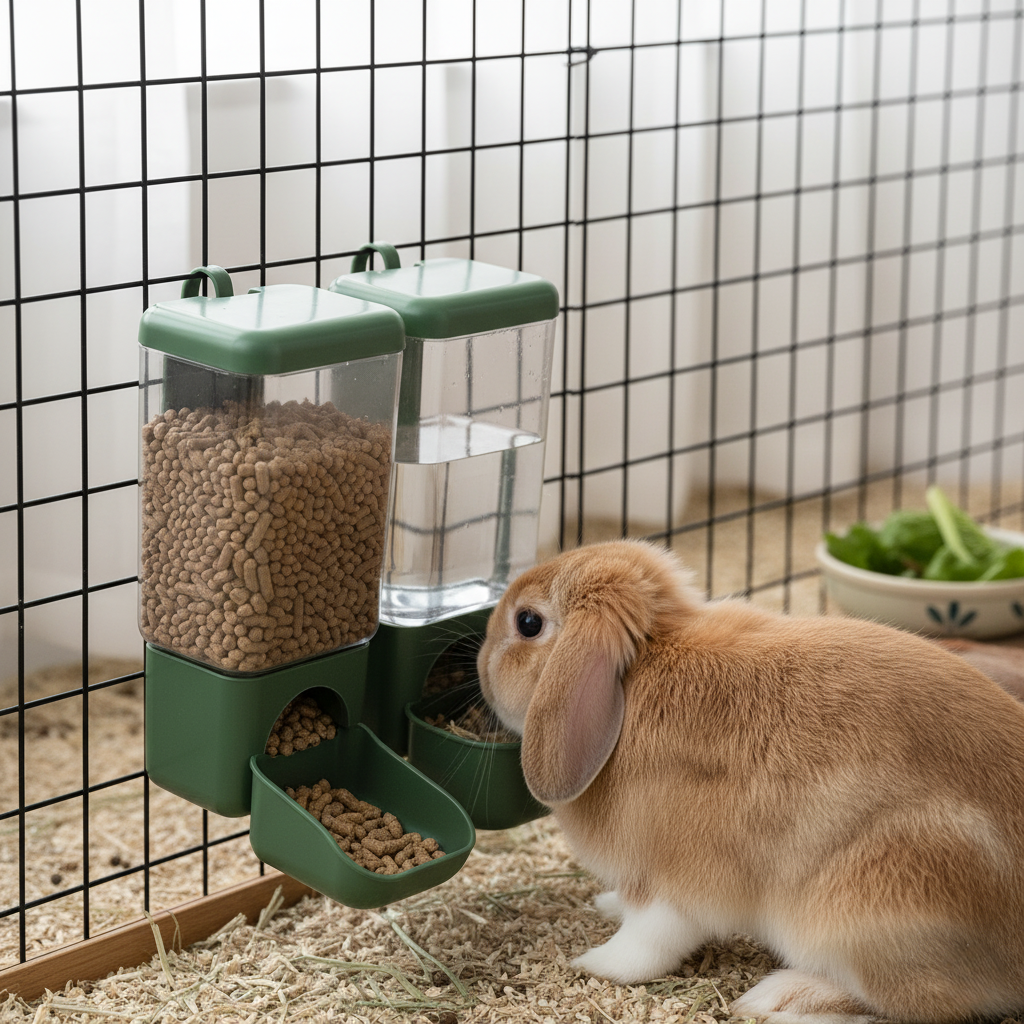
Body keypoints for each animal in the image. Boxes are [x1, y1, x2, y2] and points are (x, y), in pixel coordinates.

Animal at [476, 539, 1024, 1024]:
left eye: (528, 623)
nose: (479, 665)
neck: (639, 672)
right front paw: (607, 906)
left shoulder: (674, 882)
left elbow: (648, 941)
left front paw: (595, 963)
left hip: (868, 910)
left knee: (915, 1003)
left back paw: (781, 998)